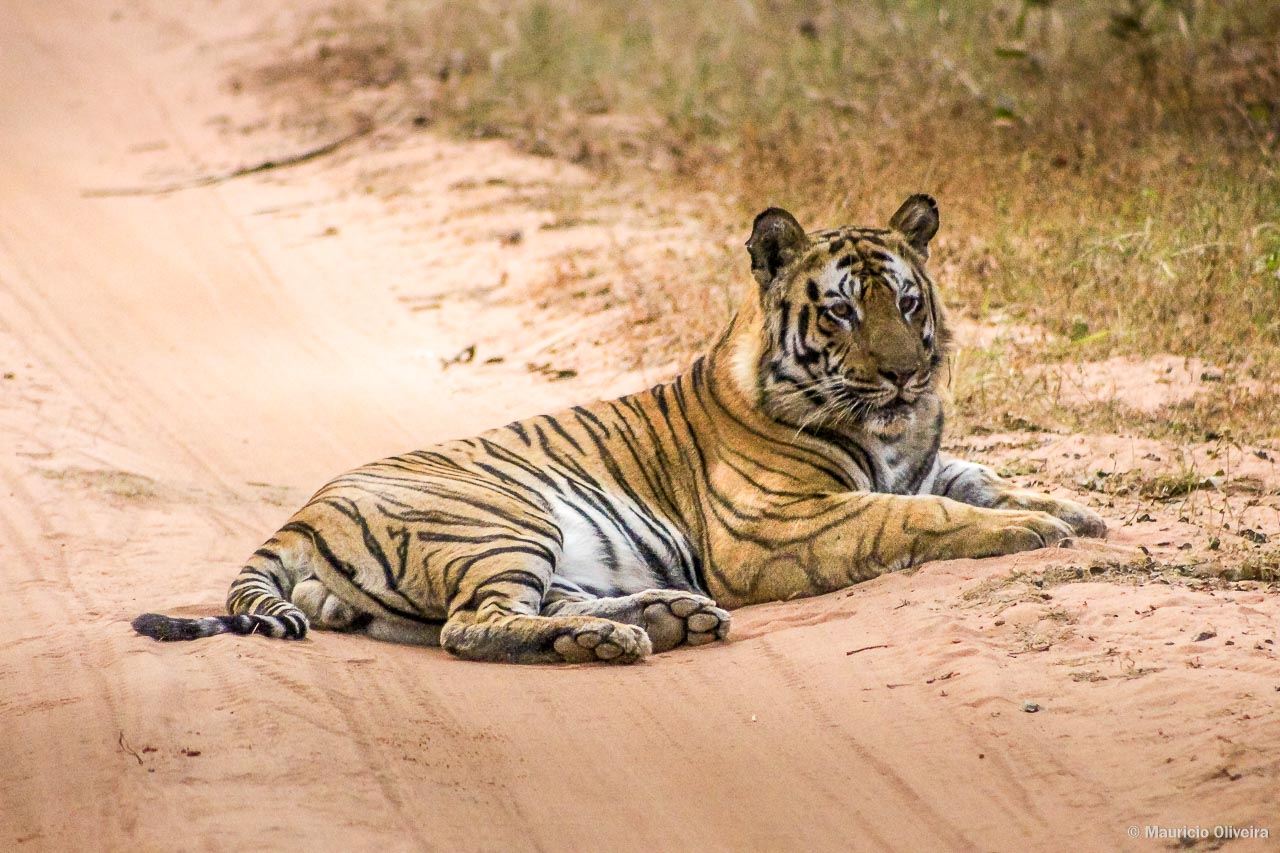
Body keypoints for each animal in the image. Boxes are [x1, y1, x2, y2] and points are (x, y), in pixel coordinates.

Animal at [135, 195, 1105, 660]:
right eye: (840, 313)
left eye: (907, 302)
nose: (907, 373)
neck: (890, 432)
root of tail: (296, 517)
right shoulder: (780, 527)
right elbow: (918, 515)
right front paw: (1034, 528)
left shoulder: (920, 462)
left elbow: (975, 478)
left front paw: (1075, 510)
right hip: (499, 521)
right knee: (471, 625)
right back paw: (618, 640)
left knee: (509, 609)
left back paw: (666, 619)